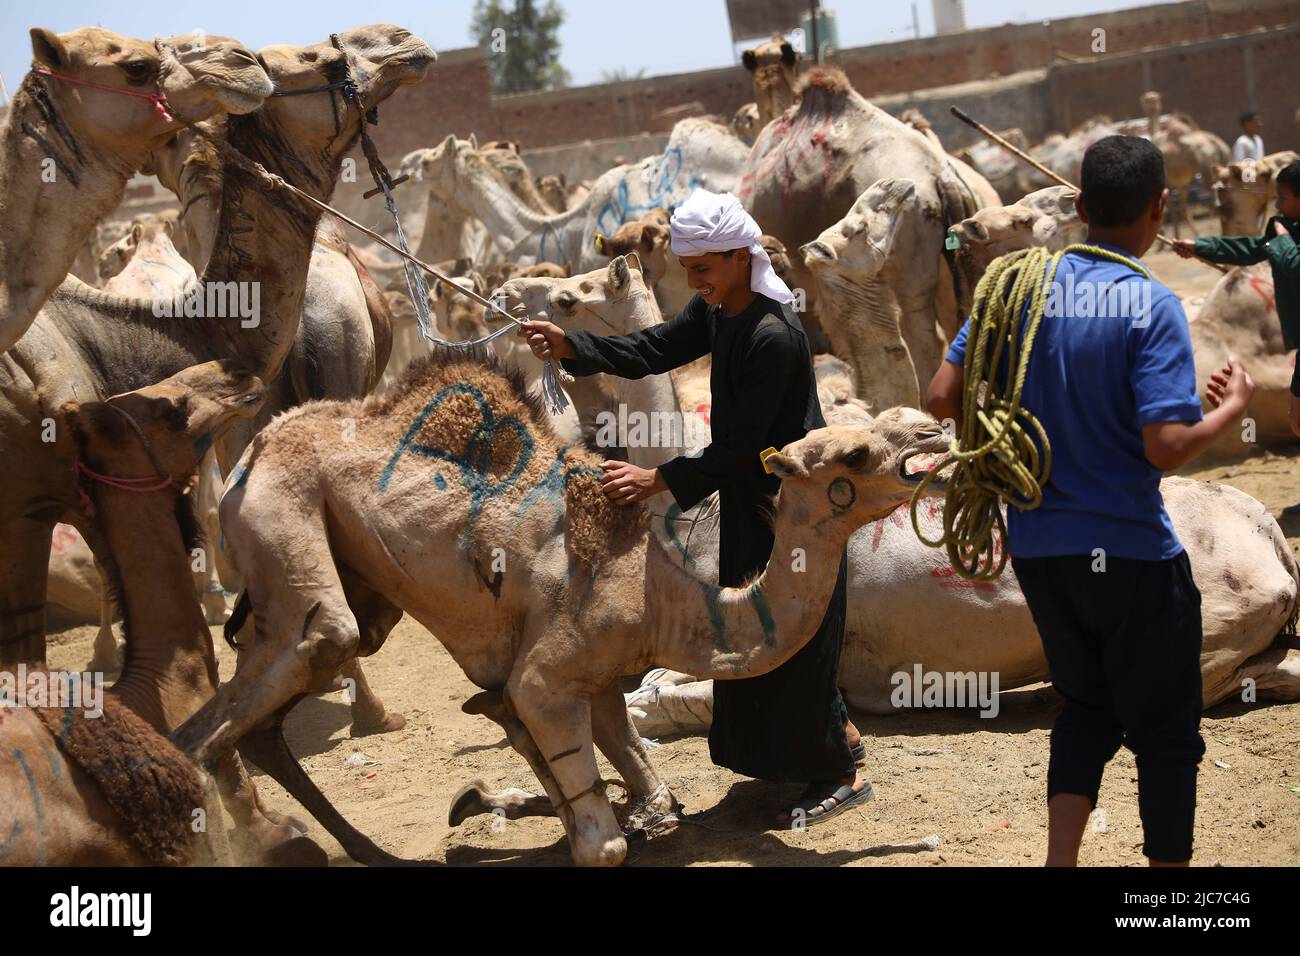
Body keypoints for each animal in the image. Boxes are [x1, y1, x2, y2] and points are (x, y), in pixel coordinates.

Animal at [170, 256, 946, 868]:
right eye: (855, 454)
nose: (929, 444)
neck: (662, 595)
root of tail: (255, 448)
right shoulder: (549, 675)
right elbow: (599, 831)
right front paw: (569, 820)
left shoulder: (597, 677)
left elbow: (625, 759)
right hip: (282, 516)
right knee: (255, 692)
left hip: (354, 586)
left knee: (265, 718)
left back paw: (354, 849)